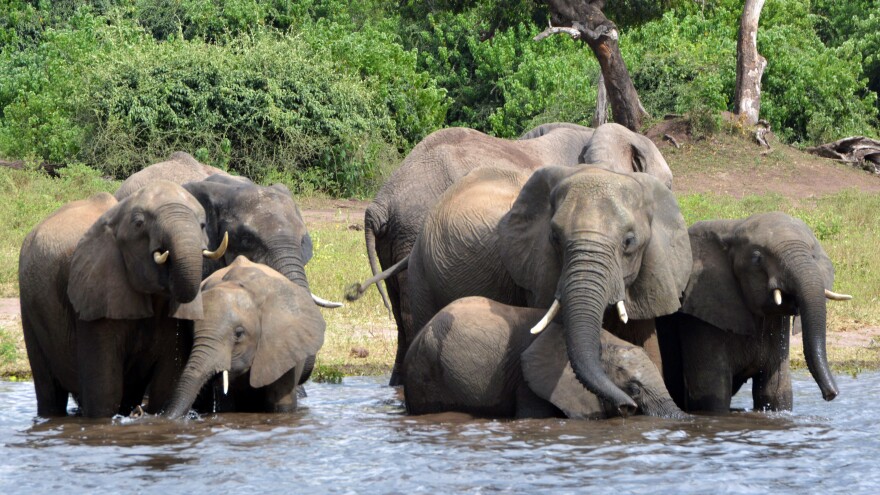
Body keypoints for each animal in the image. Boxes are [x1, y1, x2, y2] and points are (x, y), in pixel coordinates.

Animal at [19, 181, 227, 417]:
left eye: (202, 225)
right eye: (139, 224)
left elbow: (166, 384)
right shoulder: (95, 294)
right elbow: (104, 392)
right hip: (30, 309)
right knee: (49, 392)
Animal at [656, 212, 851, 413]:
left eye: (813, 255)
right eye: (757, 258)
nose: (830, 395)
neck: (732, 228)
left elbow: (776, 393)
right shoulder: (699, 315)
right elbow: (711, 398)